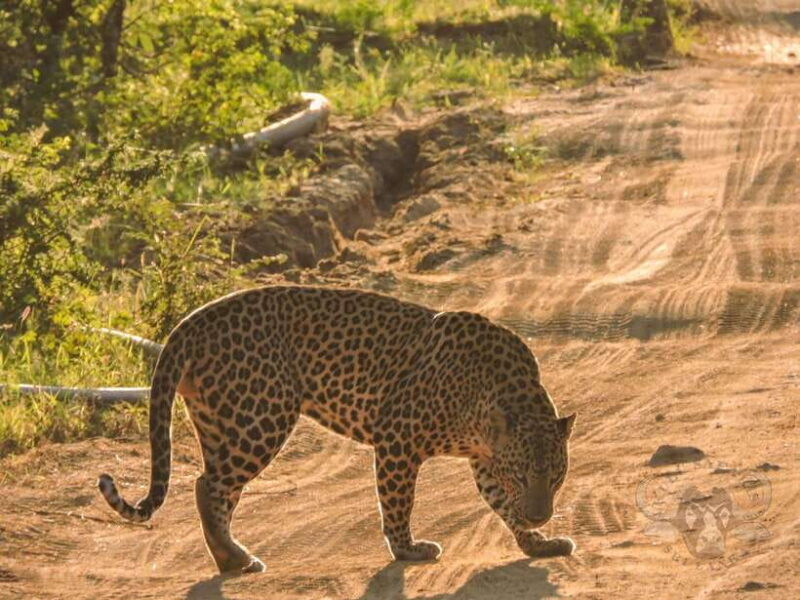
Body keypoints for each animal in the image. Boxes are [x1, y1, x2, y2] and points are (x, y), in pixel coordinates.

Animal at [98, 285, 577, 574]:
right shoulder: (397, 439)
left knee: (212, 487)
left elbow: (502, 505)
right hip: (261, 418)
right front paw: (408, 550)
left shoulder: (482, 459)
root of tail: (189, 322)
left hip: (224, 422)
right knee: (209, 486)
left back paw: (233, 557)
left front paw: (537, 542)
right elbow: (398, 503)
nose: (541, 513)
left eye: (555, 477)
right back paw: (236, 560)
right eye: (522, 475)